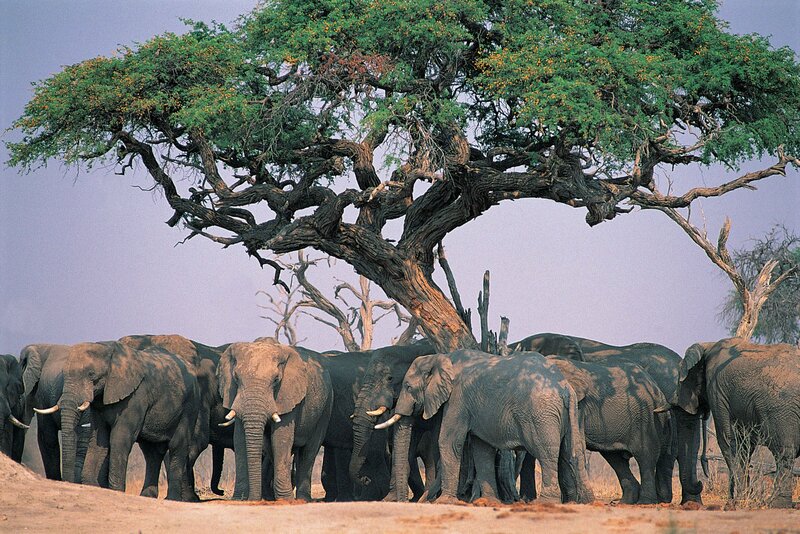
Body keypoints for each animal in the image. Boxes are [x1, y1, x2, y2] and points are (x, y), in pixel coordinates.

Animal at [41, 341, 200, 500]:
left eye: (91, 374)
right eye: (64, 374)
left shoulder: (136, 396)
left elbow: (119, 438)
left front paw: (116, 491)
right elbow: (98, 439)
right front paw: (95, 486)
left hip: (190, 405)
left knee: (176, 445)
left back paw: (172, 499)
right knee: (151, 452)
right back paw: (147, 496)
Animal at [217, 338, 333, 501]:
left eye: (276, 379)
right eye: (236, 378)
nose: (254, 499)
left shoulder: (287, 395)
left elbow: (281, 438)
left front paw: (285, 500)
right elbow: (239, 439)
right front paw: (239, 499)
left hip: (326, 406)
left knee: (309, 450)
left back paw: (302, 499)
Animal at [380, 350, 594, 505]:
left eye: (408, 387)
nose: (411, 501)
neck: (441, 357)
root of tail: (565, 388)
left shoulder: (458, 398)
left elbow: (449, 441)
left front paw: (445, 501)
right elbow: (482, 449)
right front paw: (488, 501)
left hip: (540, 415)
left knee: (547, 453)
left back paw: (545, 503)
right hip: (567, 413)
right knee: (571, 452)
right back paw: (584, 502)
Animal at [514, 333, 704, 504]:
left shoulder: (578, 405)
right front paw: (567, 501)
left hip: (647, 417)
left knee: (647, 456)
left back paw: (648, 502)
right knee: (618, 458)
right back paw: (630, 501)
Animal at [676, 338, 800, 508]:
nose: (702, 480)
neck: (708, 345)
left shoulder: (717, 392)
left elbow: (729, 442)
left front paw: (735, 502)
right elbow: (745, 445)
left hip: (782, 408)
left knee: (783, 453)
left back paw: (776, 504)